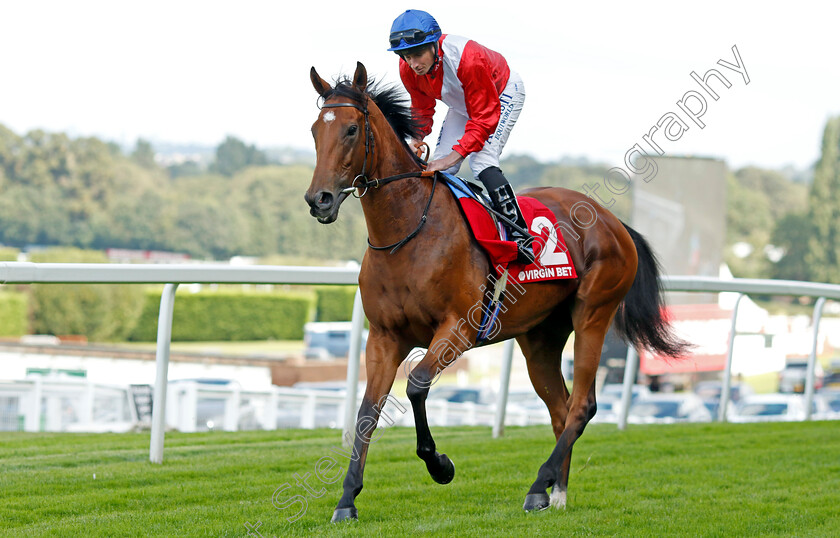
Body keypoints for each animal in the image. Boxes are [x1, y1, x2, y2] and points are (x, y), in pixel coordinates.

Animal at [306, 61, 684, 520]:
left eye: (350, 130)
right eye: (314, 130)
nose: (319, 200)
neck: (407, 232)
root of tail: (615, 223)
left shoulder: (457, 330)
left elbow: (416, 385)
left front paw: (440, 465)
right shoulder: (383, 337)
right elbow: (366, 412)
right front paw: (346, 500)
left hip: (594, 312)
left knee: (583, 405)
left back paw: (539, 486)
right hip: (540, 338)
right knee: (560, 409)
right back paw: (555, 492)